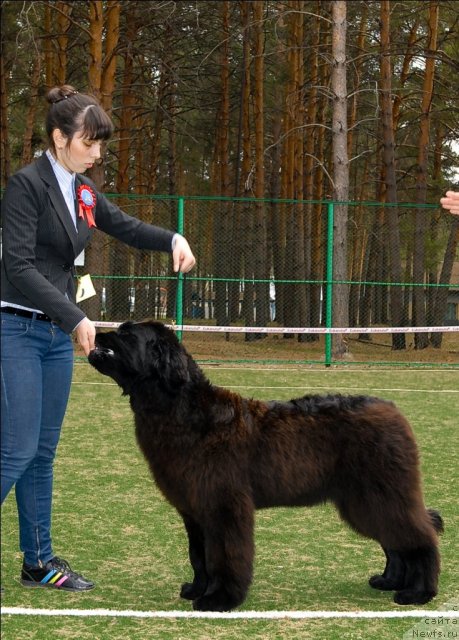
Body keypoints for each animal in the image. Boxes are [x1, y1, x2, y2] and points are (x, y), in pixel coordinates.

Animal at [88, 322, 444, 612]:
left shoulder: (224, 506)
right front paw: (197, 589)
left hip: (383, 494)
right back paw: (391, 581)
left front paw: (220, 599)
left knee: (420, 538)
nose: (96, 331)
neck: (182, 411)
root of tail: (395, 412)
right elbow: (199, 556)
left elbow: (224, 555)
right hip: (364, 501)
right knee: (395, 542)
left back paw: (418, 593)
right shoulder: (194, 510)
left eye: (125, 334)